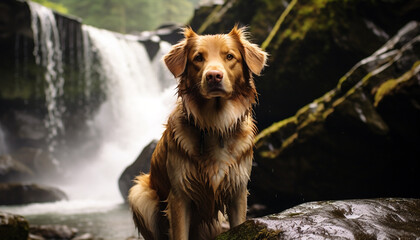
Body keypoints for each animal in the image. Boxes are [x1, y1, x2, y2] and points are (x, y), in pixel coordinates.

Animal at [128, 25, 268, 239]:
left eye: (229, 56)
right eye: (198, 58)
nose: (213, 76)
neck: (215, 124)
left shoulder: (238, 192)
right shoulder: (179, 196)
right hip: (140, 194)